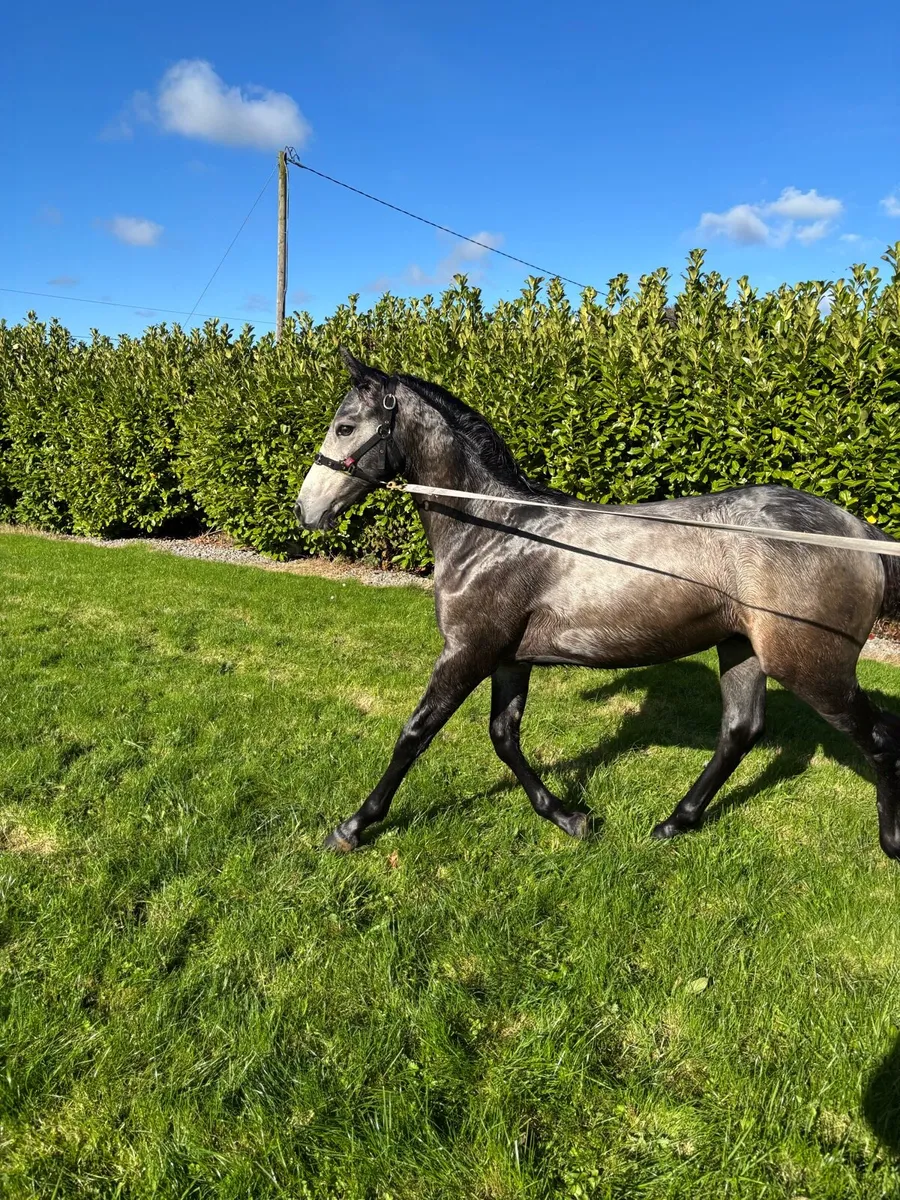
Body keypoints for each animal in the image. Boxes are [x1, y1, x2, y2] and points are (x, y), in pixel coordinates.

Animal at [296, 348, 900, 857]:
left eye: (345, 426)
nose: (306, 510)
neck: (494, 530)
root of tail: (858, 531)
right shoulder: (508, 659)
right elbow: (504, 737)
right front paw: (569, 817)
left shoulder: (467, 652)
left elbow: (415, 733)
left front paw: (352, 828)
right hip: (742, 650)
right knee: (740, 731)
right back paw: (673, 823)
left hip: (811, 666)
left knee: (878, 736)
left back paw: (890, 842)